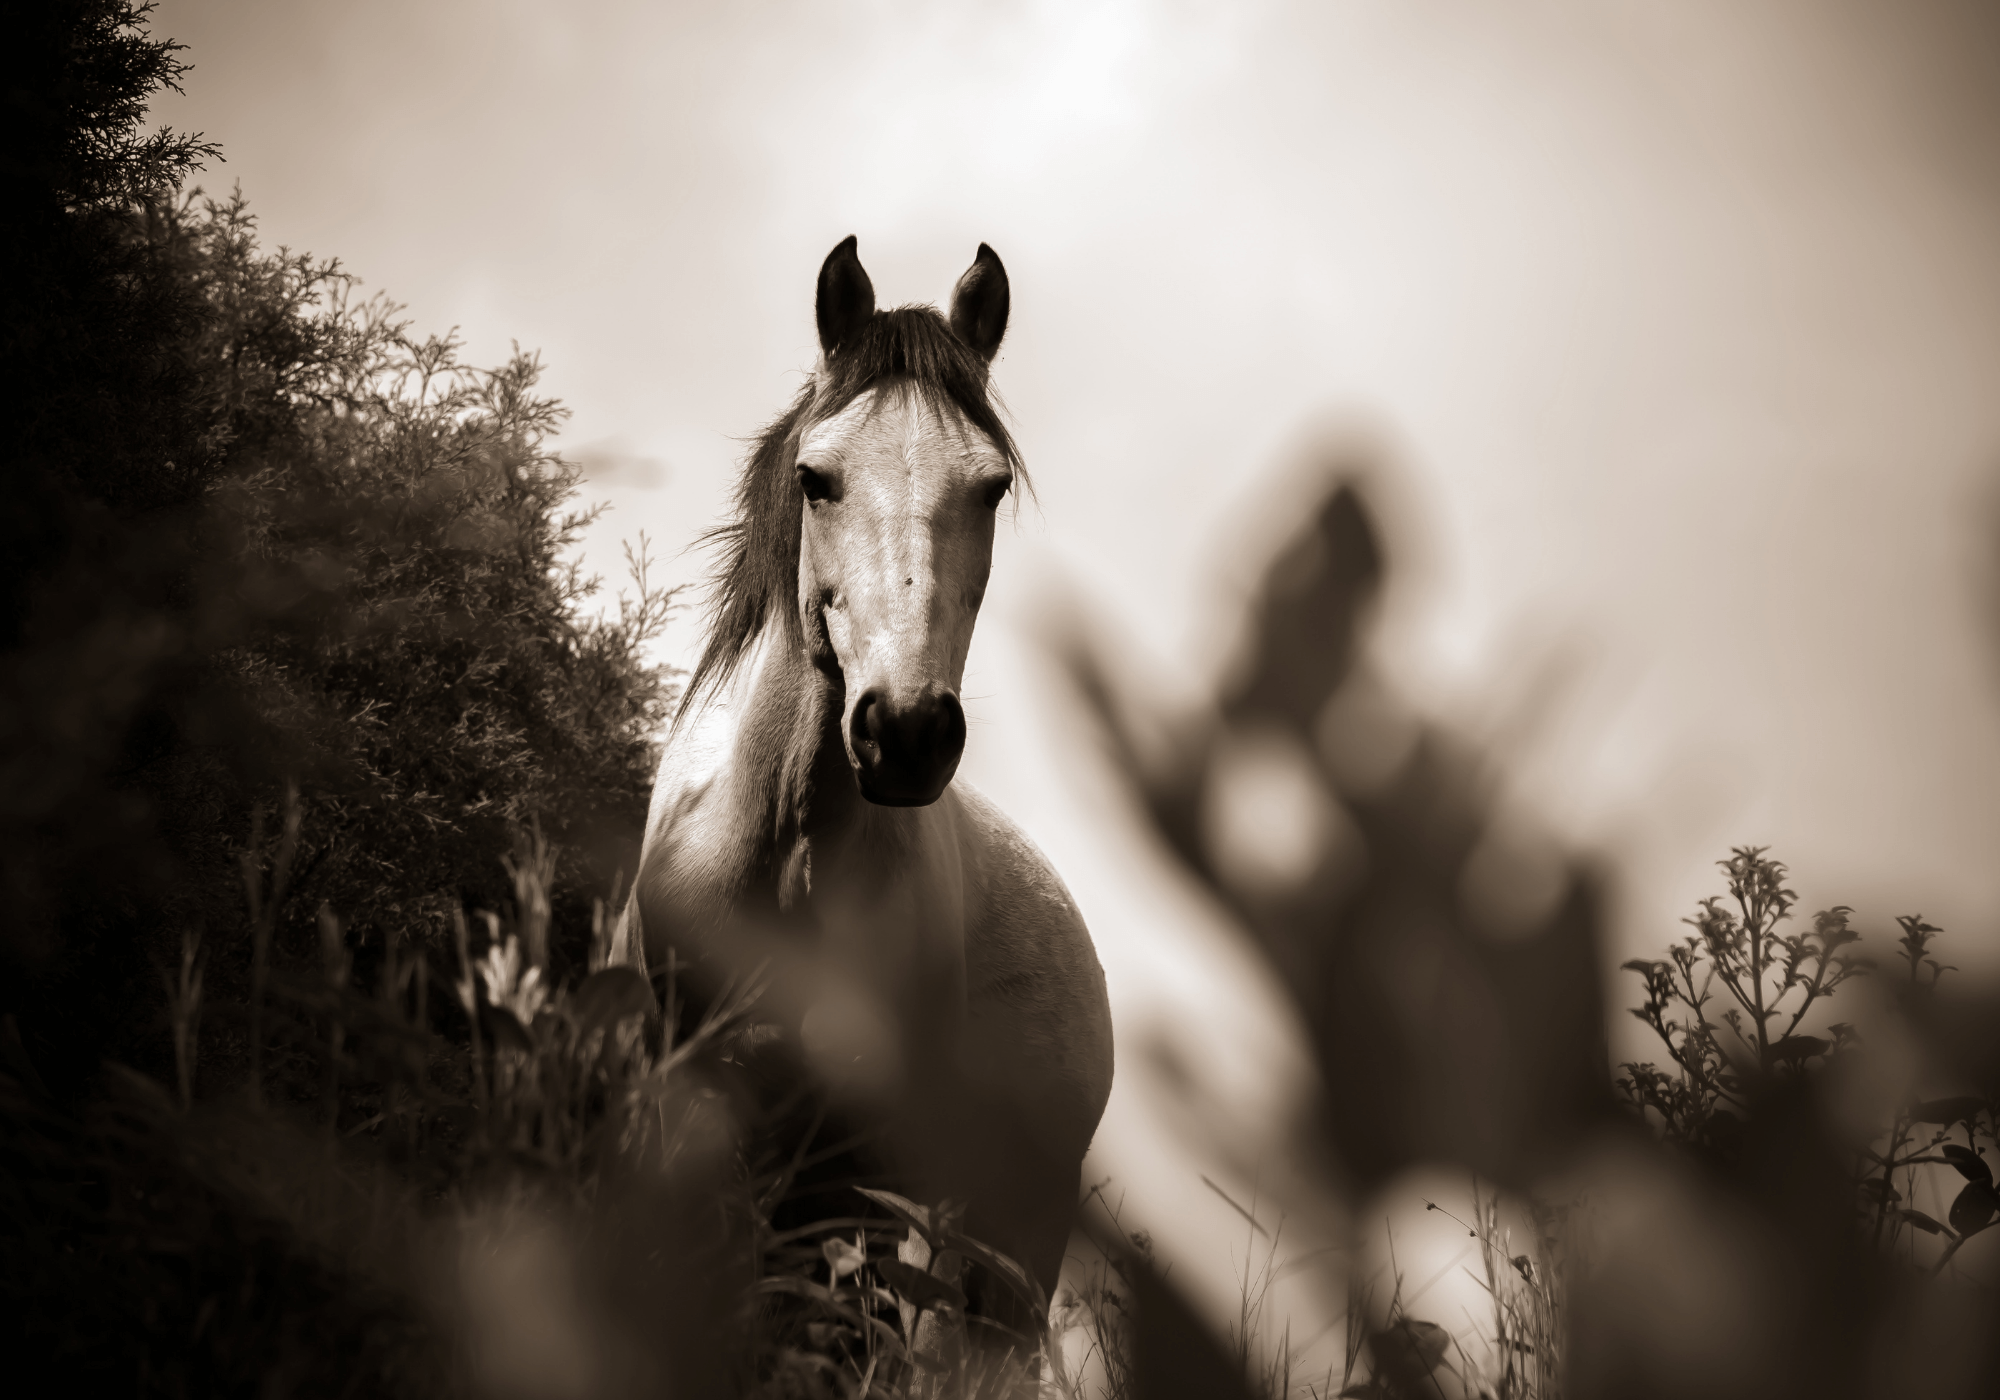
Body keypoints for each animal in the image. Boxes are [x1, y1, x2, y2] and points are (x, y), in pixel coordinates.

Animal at [629, 236, 1114, 1348]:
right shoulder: (692, 1115)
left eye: (988, 488)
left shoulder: (866, 1173)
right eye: (817, 479)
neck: (785, 853)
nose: (905, 732)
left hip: (1003, 1239)